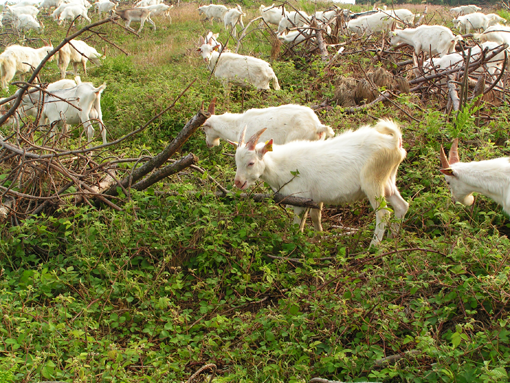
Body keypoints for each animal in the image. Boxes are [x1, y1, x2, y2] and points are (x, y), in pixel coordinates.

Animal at [233, 119, 408, 246]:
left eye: (251, 163)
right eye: (237, 162)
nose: (238, 183)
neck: (279, 165)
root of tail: (394, 143)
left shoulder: (299, 199)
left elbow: (298, 224)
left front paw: (296, 242)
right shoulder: (314, 198)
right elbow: (315, 216)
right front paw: (319, 239)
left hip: (373, 181)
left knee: (383, 213)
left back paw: (373, 246)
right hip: (388, 181)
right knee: (402, 206)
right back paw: (393, 239)